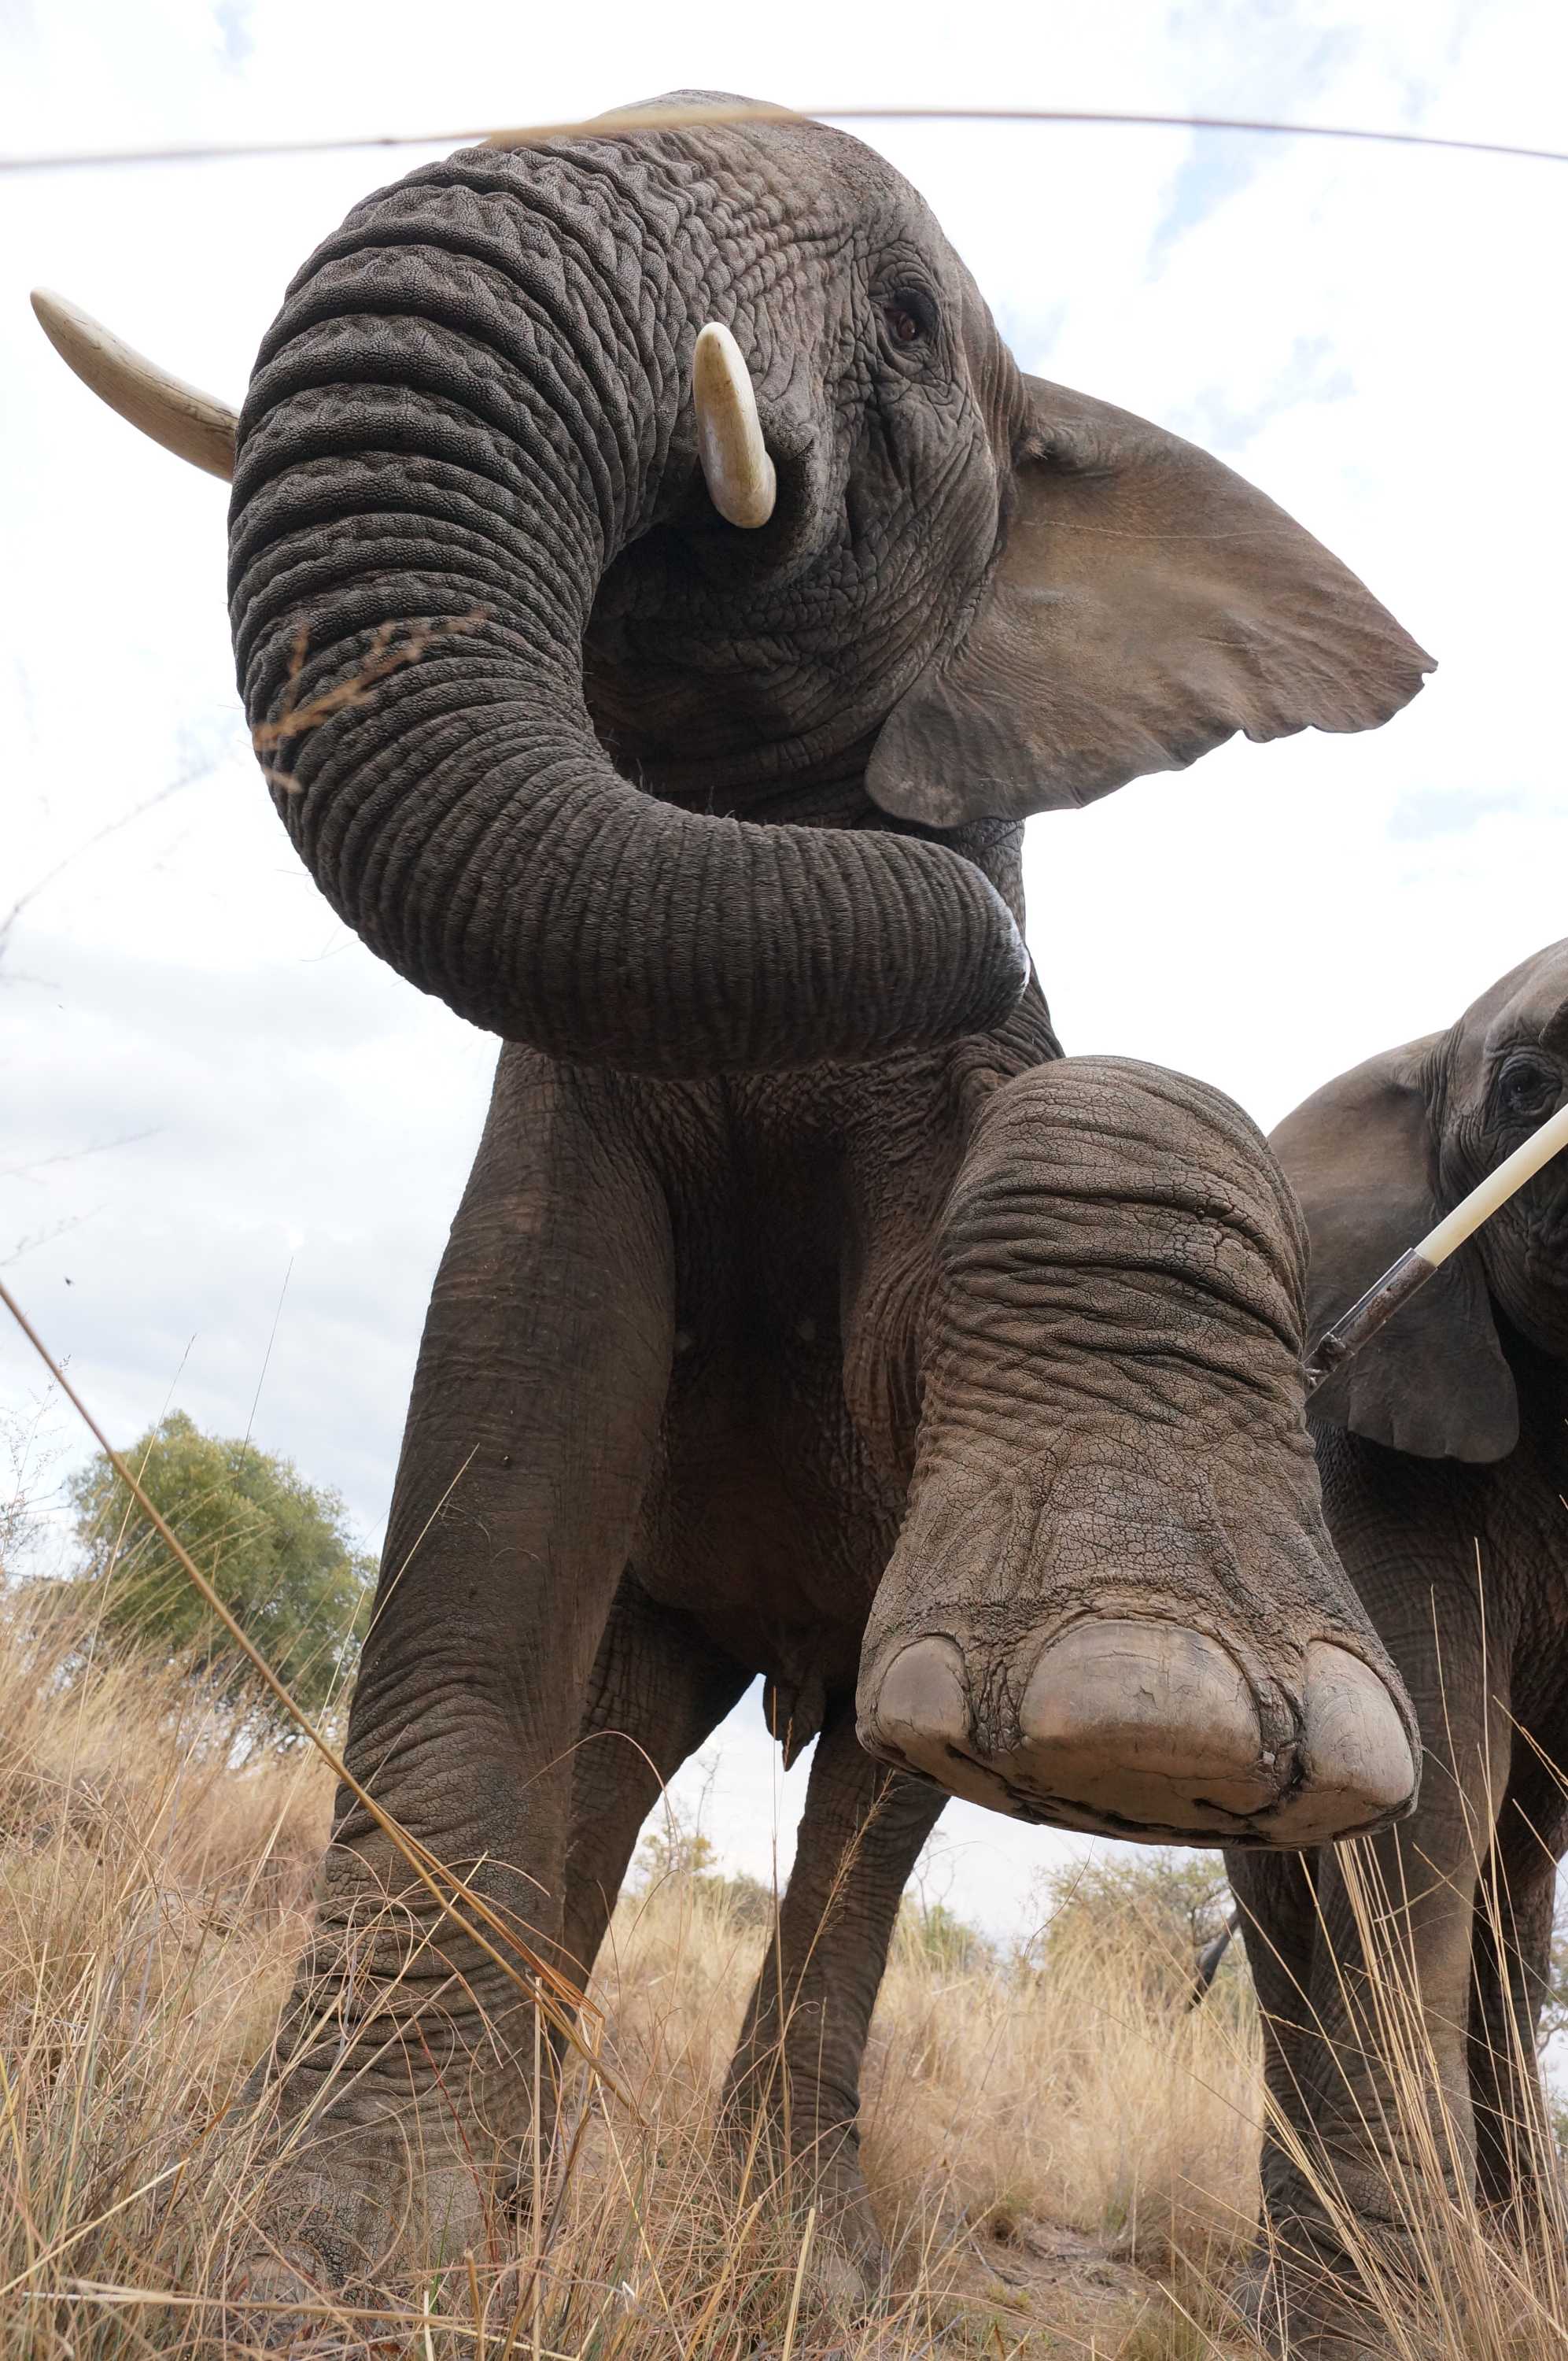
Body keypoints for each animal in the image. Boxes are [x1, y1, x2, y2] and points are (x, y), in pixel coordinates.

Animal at [36, 96, 1433, 2323]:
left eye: (908, 317)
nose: (987, 938)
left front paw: (1166, 1710)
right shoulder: (563, 1119)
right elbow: (503, 1466)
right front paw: (339, 2262)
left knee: (874, 1787)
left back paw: (805, 2267)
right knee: (612, 1737)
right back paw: (537, 2213)